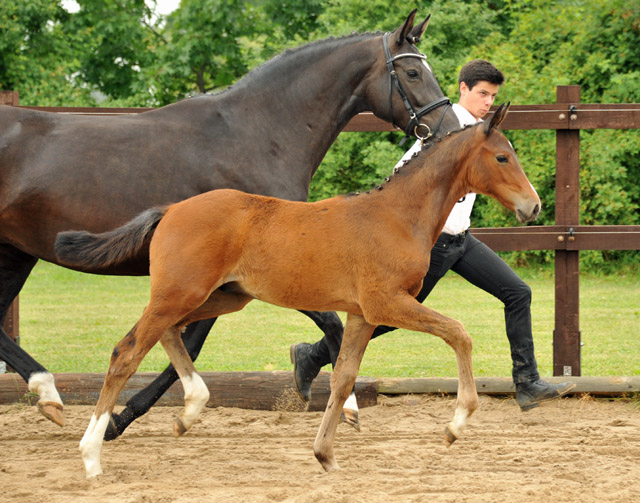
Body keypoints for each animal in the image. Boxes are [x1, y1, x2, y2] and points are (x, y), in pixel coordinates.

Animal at [0, 8, 460, 434]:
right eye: (413, 71)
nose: (450, 128)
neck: (256, 135)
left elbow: (189, 343)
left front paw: (127, 416)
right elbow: (329, 324)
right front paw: (345, 406)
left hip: (16, 252)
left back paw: (49, 396)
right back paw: (49, 392)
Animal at [55, 103, 540, 476]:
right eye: (502, 158)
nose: (532, 206)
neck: (398, 216)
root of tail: (170, 209)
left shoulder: (362, 314)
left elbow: (343, 377)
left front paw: (325, 455)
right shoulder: (386, 303)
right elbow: (459, 332)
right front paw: (455, 425)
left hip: (221, 297)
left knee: (169, 334)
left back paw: (190, 410)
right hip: (180, 294)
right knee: (126, 351)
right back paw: (92, 454)